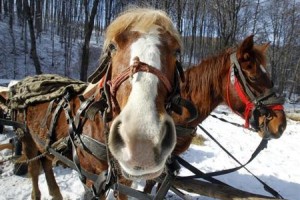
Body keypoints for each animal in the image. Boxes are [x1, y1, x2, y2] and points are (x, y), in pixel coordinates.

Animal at [10, 7, 182, 200]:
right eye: (112, 47)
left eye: (177, 51)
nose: (142, 144)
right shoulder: (92, 178)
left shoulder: (123, 180)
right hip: (27, 138)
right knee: (33, 168)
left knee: (46, 162)